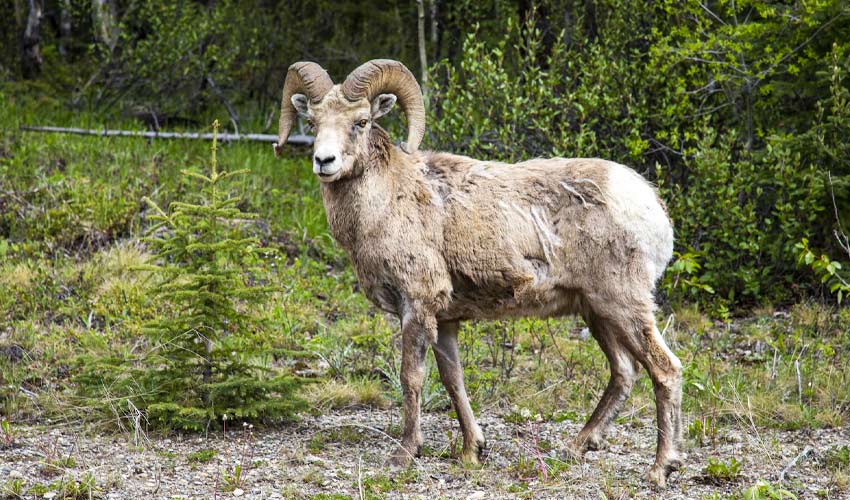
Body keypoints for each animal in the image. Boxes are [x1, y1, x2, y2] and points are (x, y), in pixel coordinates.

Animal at [274, 60, 684, 486]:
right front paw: (473, 450)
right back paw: (577, 446)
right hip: (597, 312)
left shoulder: (417, 305)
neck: (386, 203)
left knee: (665, 370)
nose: (324, 162)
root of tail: (651, 204)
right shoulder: (445, 320)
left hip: (624, 304)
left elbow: (411, 376)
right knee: (624, 372)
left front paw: (405, 455)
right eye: (312, 120)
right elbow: (453, 379)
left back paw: (660, 469)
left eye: (361, 121)